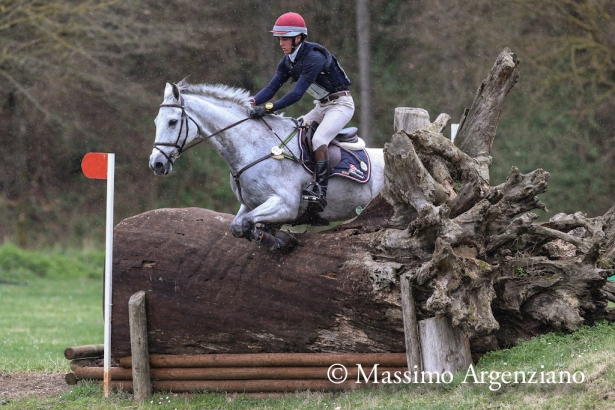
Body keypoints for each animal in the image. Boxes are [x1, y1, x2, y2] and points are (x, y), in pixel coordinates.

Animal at [150, 81, 384, 250]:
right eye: (155, 122)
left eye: (172, 122)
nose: (156, 164)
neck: (253, 147)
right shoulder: (250, 204)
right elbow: (238, 226)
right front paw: (274, 237)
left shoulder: (285, 204)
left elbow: (245, 224)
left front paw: (276, 240)